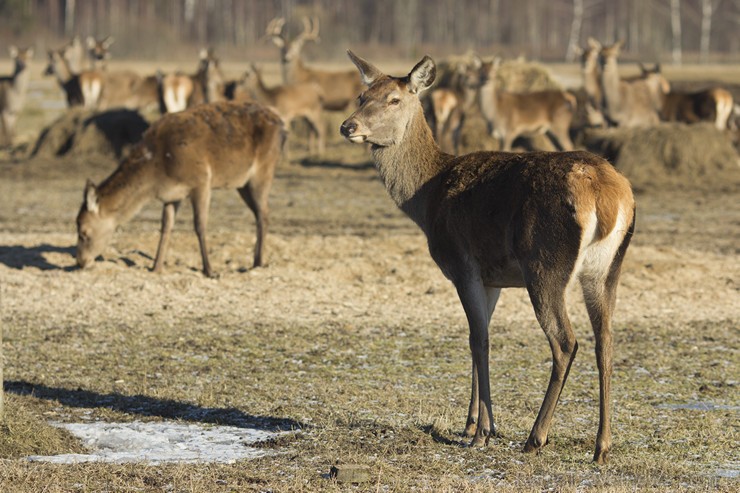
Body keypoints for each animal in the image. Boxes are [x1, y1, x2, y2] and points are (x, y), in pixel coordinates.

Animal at [75, 100, 284, 276]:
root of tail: (280, 122)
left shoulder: (201, 181)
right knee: (260, 214)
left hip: (263, 171)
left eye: (84, 232)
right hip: (242, 183)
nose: (81, 262)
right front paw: (156, 267)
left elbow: (200, 225)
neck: (158, 171)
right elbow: (166, 227)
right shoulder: (171, 195)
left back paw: (258, 263)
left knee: (264, 214)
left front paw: (210, 271)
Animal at [342, 51, 636, 466]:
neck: (426, 197)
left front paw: (482, 432)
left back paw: (536, 437)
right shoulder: (491, 277)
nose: (348, 126)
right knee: (605, 341)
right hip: (607, 267)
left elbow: (478, 339)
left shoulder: (461, 263)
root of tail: (610, 196)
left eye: (394, 99)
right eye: (361, 95)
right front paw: (470, 424)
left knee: (565, 341)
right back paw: (602, 445)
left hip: (545, 264)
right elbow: (480, 337)